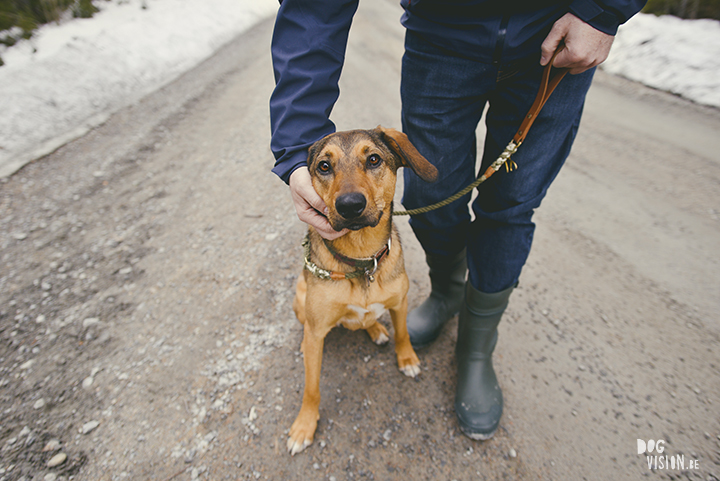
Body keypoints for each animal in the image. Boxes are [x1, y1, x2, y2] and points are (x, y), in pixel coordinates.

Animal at [286, 124, 438, 454]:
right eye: (324, 166)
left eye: (373, 159)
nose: (350, 205)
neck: (362, 259)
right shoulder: (317, 330)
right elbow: (311, 387)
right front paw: (304, 425)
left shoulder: (400, 302)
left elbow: (403, 333)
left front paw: (407, 359)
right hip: (299, 296)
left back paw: (376, 330)